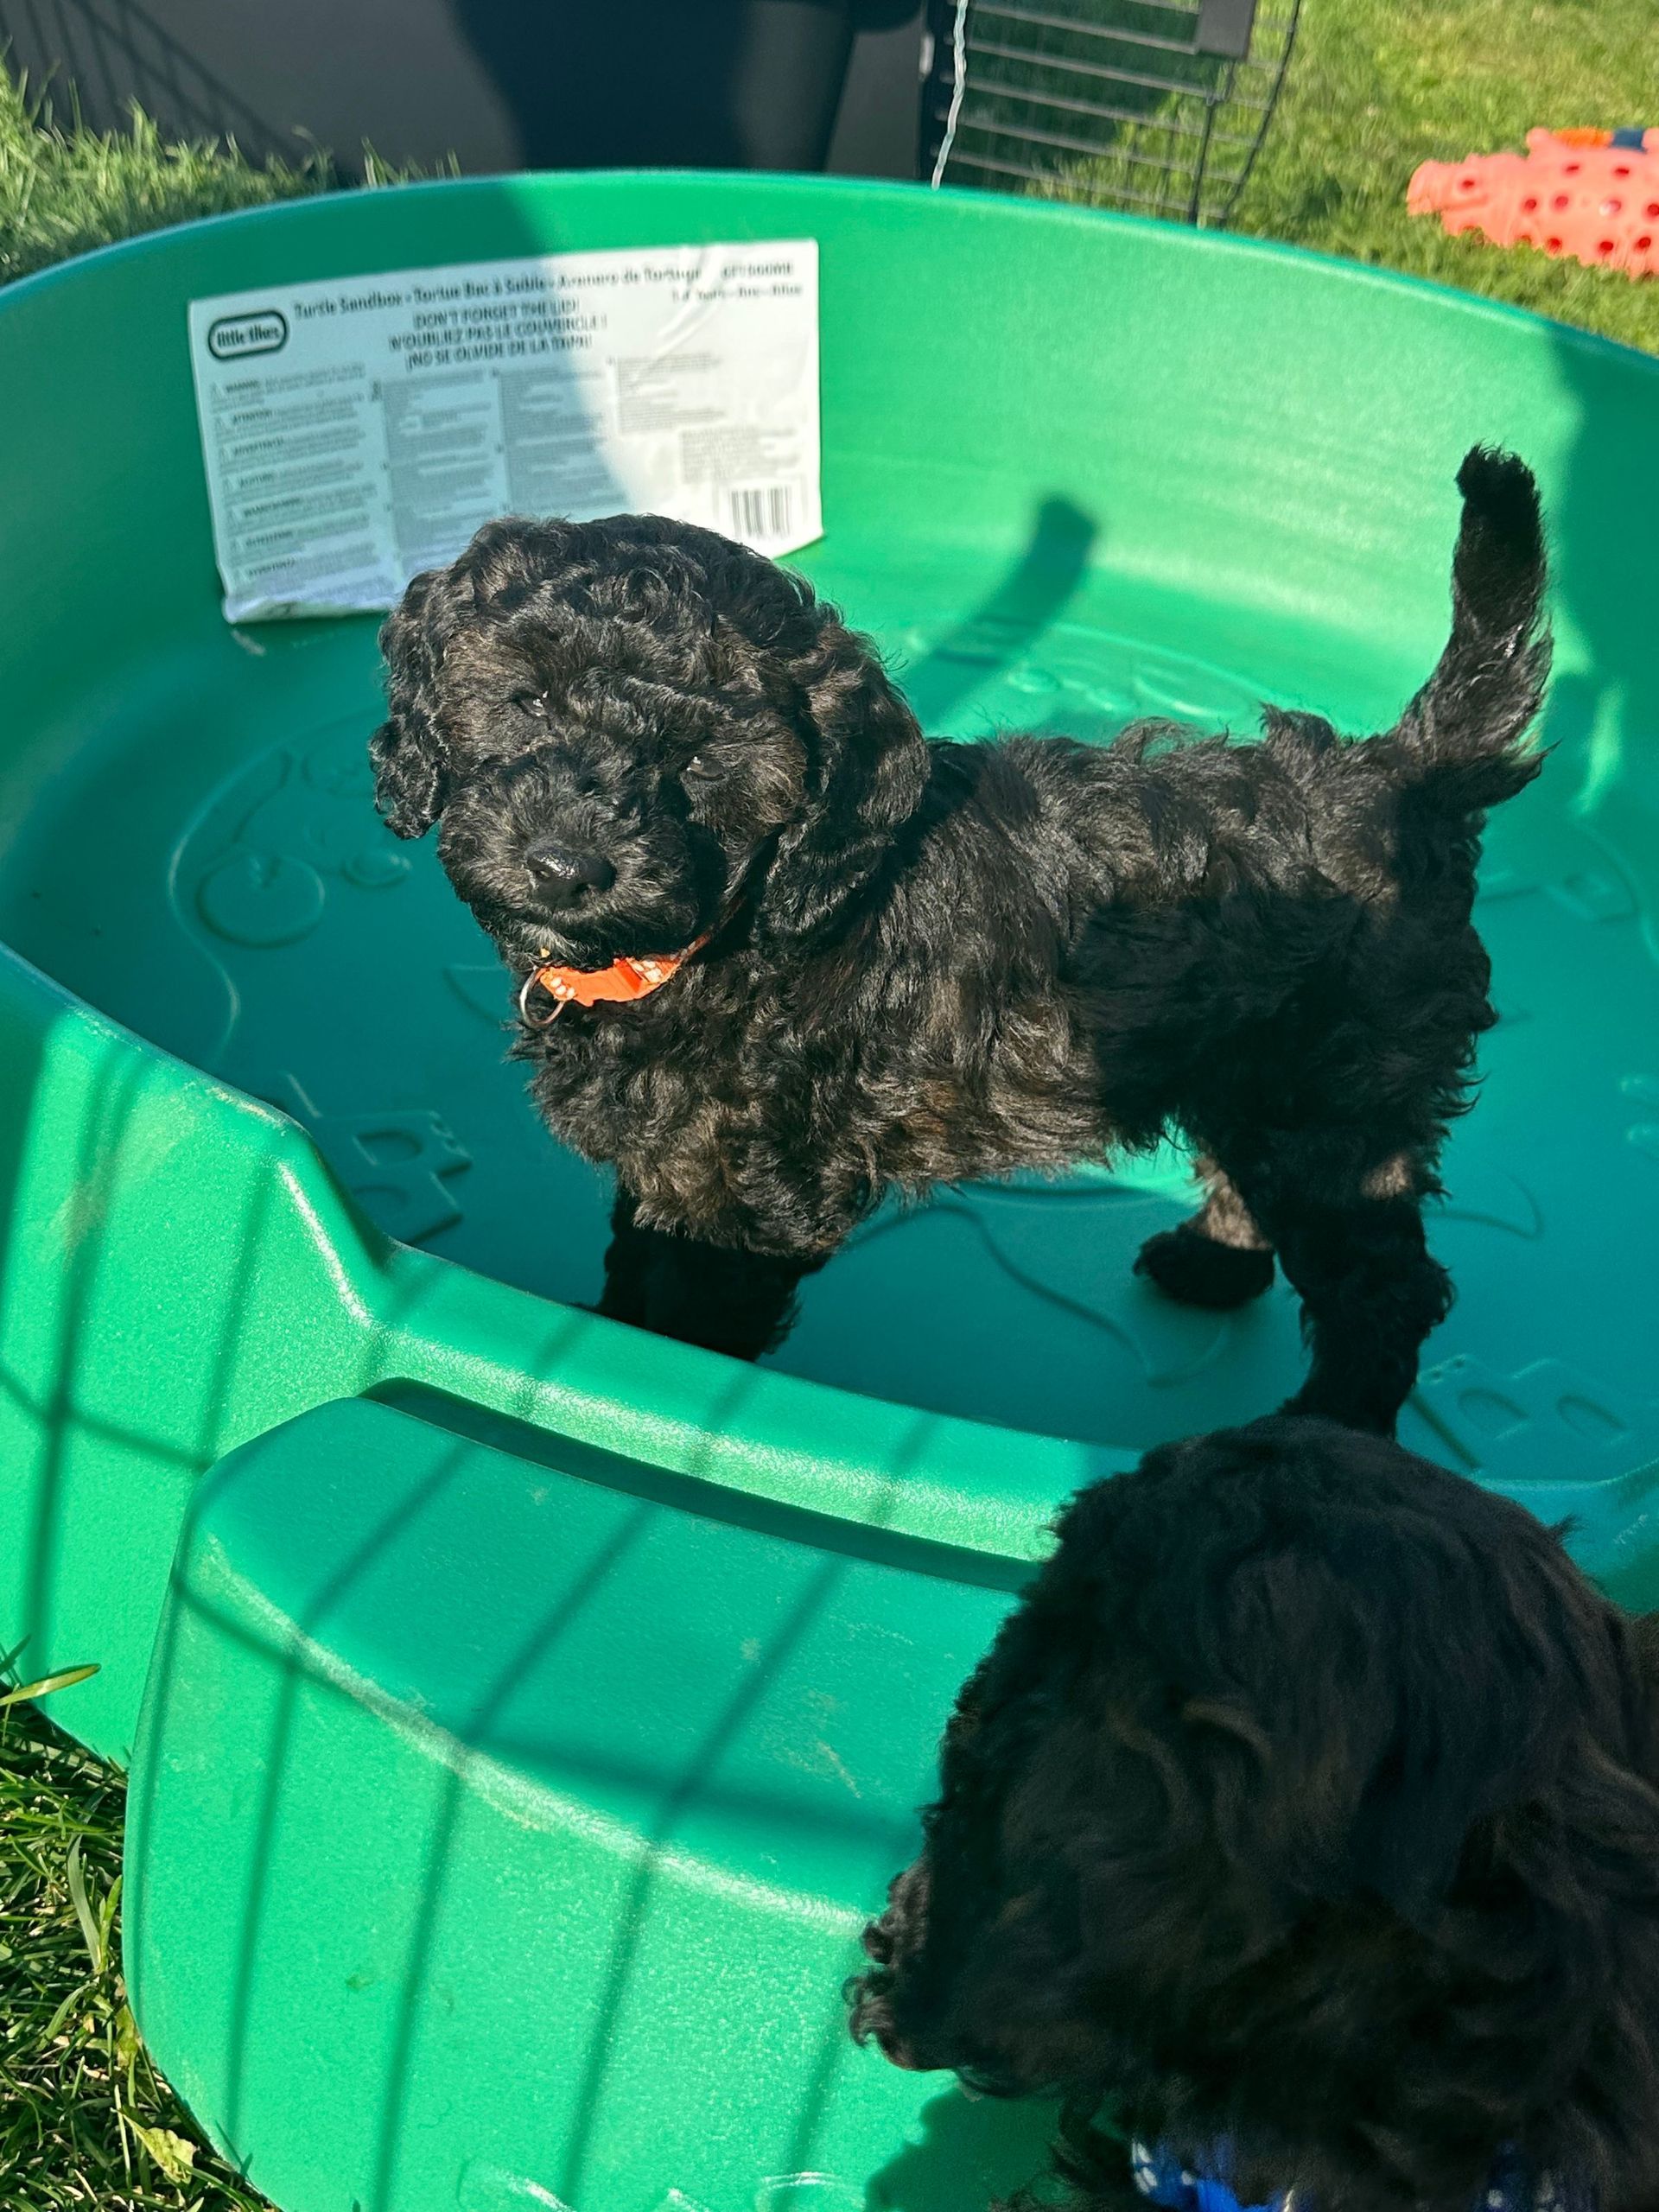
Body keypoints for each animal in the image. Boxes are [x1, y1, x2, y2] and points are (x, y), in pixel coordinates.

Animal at [370, 447, 1548, 1433]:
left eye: (703, 760)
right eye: (525, 699)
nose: (566, 865)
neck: (729, 932)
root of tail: (1402, 774)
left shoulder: (753, 1198)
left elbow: (689, 1320)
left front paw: (651, 1395)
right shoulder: (676, 1162)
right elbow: (636, 1266)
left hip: (1340, 1094)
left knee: (1385, 1287)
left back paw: (1328, 1431)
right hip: (1254, 1067)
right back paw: (1208, 1267)